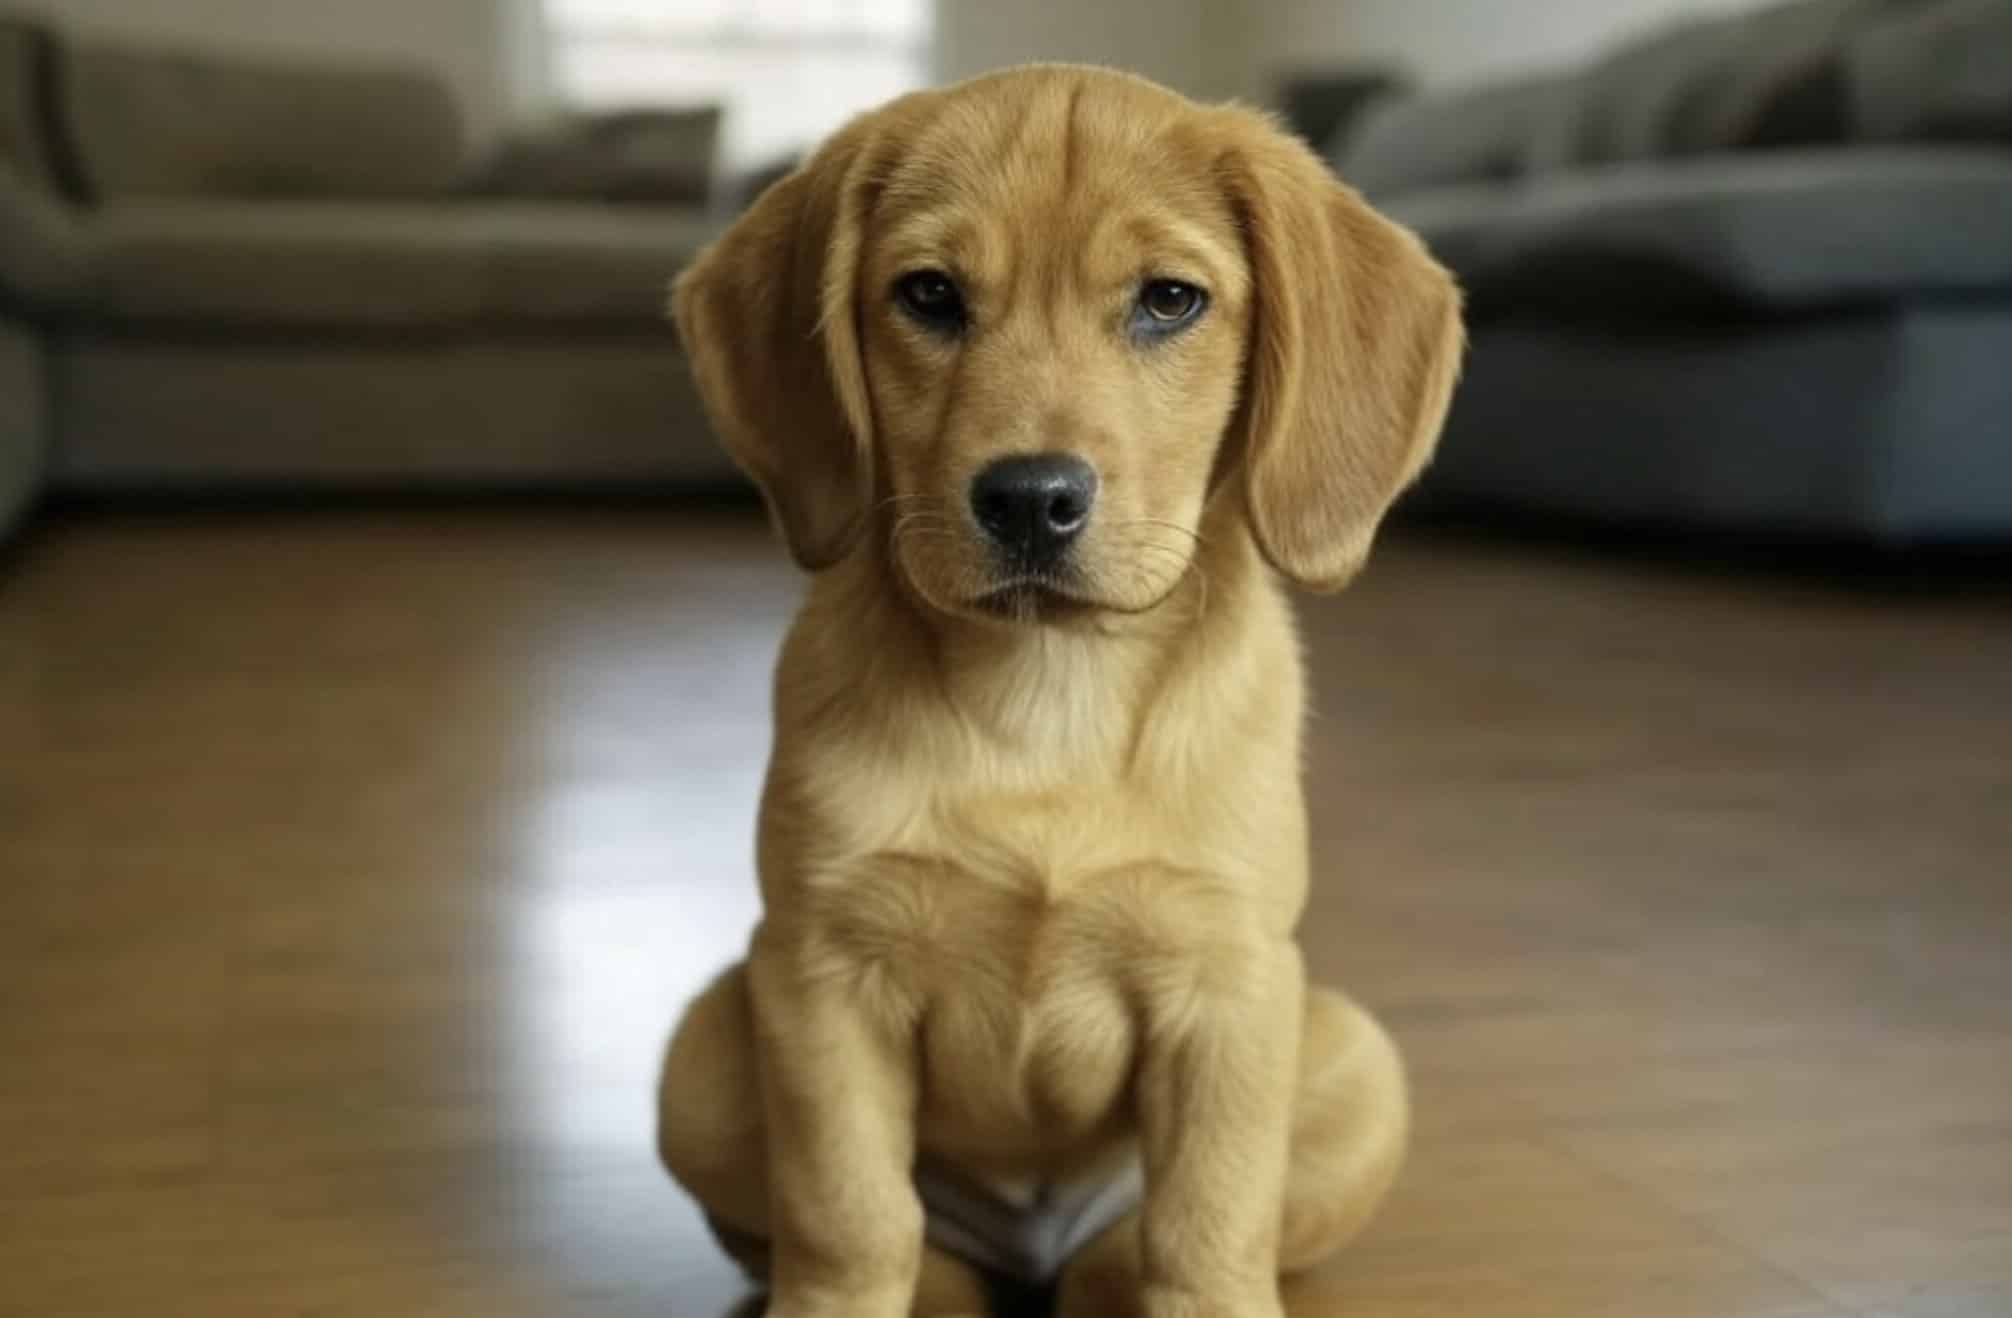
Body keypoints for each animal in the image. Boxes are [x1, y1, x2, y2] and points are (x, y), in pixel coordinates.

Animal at [659, 64, 1464, 1318]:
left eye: (1169, 300)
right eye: (929, 295)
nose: (1030, 498)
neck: (1049, 696)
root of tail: (1028, 1245)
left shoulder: (1227, 986)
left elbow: (1204, 1231)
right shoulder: (820, 974)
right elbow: (847, 1219)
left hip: (1352, 1050)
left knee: (1122, 1253)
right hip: (701, 1053)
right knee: (910, 1247)